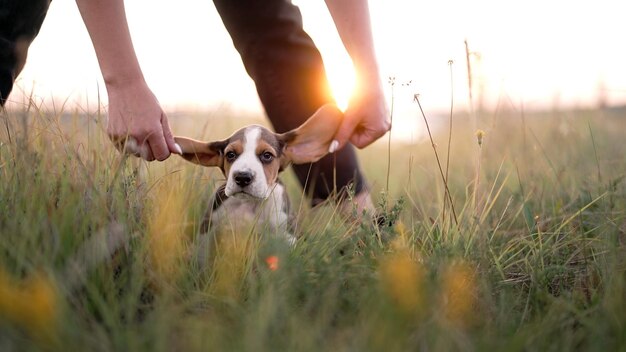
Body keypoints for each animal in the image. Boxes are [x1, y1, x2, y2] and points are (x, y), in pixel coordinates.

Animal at [174, 103, 342, 243]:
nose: (242, 177)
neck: (250, 204)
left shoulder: (287, 236)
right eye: (230, 155)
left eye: (267, 155)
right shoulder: (207, 231)